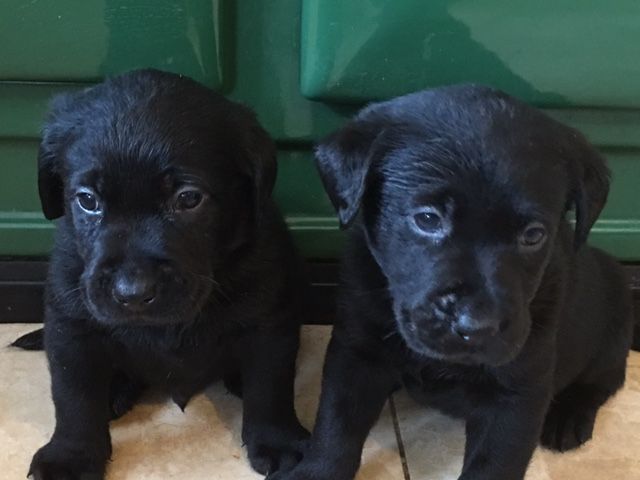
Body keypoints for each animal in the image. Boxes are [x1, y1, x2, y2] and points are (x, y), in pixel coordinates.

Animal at [20, 68, 310, 480]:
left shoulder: (270, 320)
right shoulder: (70, 326)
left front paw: (279, 440)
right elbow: (74, 397)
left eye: (189, 198)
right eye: (88, 200)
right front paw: (70, 456)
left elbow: (271, 387)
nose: (132, 292)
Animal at [270, 85, 636, 480]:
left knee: (605, 379)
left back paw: (567, 418)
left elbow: (493, 464)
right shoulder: (355, 352)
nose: (476, 326)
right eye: (428, 219)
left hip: (611, 326)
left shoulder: (519, 393)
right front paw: (315, 471)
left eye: (534, 235)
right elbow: (335, 427)